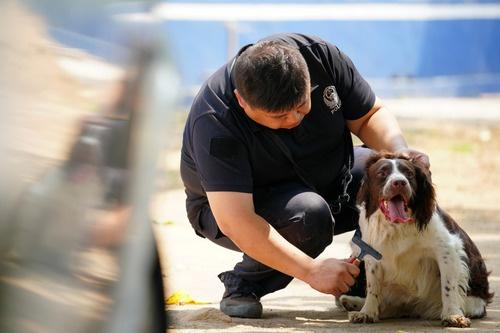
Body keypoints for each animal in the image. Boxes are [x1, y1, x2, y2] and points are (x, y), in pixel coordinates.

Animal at [340, 152, 492, 326]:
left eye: (409, 174)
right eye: (382, 173)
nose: (399, 182)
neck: (397, 226)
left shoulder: (447, 249)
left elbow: (448, 286)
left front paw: (452, 315)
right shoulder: (372, 252)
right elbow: (373, 287)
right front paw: (367, 312)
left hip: (472, 302)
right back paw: (351, 302)